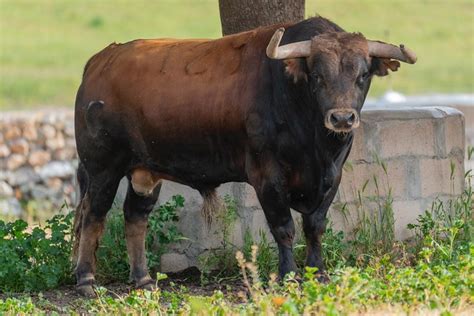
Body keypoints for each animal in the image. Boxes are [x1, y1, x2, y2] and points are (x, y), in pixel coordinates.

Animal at [73, 15, 414, 296]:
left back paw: (143, 279)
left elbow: (315, 226)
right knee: (94, 214)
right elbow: (284, 228)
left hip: (145, 171)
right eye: (317, 76)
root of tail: (99, 62)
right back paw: (86, 280)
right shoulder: (267, 175)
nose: (342, 118)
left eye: (363, 75)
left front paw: (317, 272)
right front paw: (287, 275)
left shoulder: (333, 176)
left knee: (135, 216)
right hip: (103, 167)